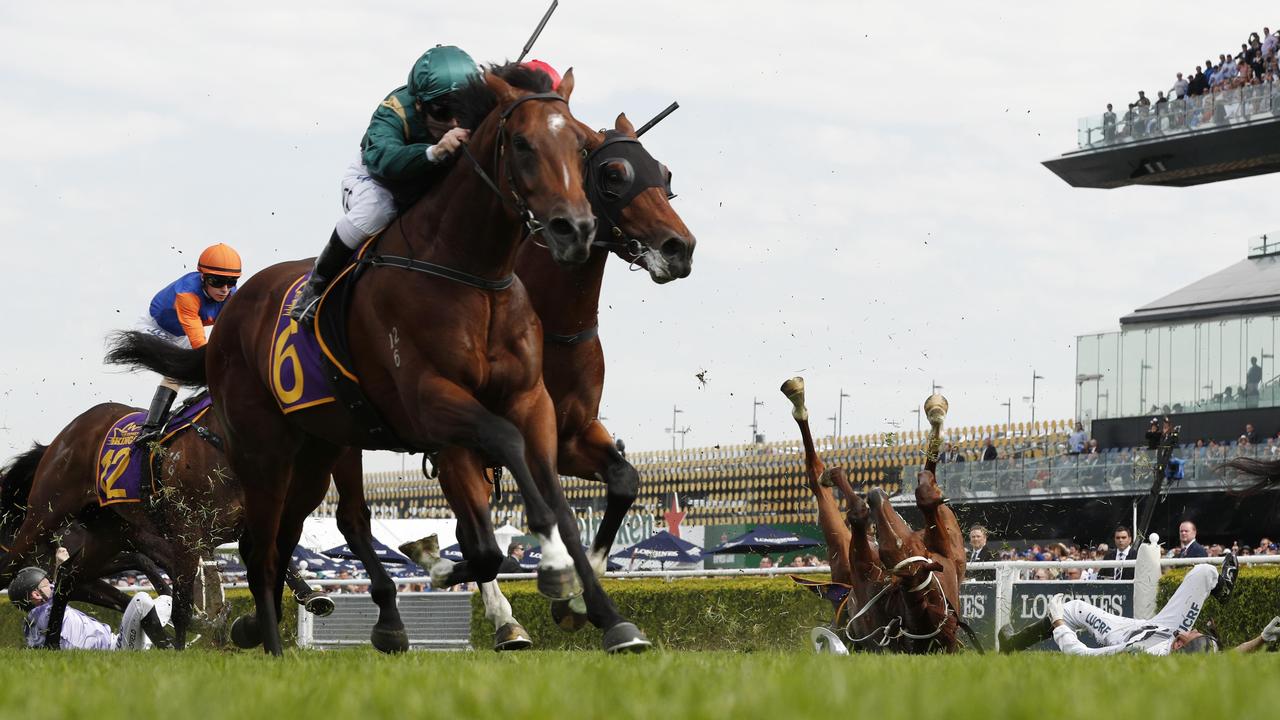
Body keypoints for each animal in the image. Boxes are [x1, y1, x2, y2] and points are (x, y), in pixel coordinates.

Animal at [103, 70, 650, 653]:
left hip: (316, 450)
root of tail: (231, 315)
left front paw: (603, 613)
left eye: (582, 148)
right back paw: (276, 641)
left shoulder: (534, 404)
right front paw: (470, 569)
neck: (472, 275)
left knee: (283, 537)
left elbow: (560, 510)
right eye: (522, 143)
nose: (575, 228)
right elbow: (488, 515)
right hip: (264, 449)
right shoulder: (433, 408)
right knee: (268, 547)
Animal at [778, 376, 967, 650]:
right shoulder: (943, 552)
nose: (879, 500)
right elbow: (925, 494)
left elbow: (857, 509)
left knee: (815, 476)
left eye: (898, 551)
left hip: (841, 549)